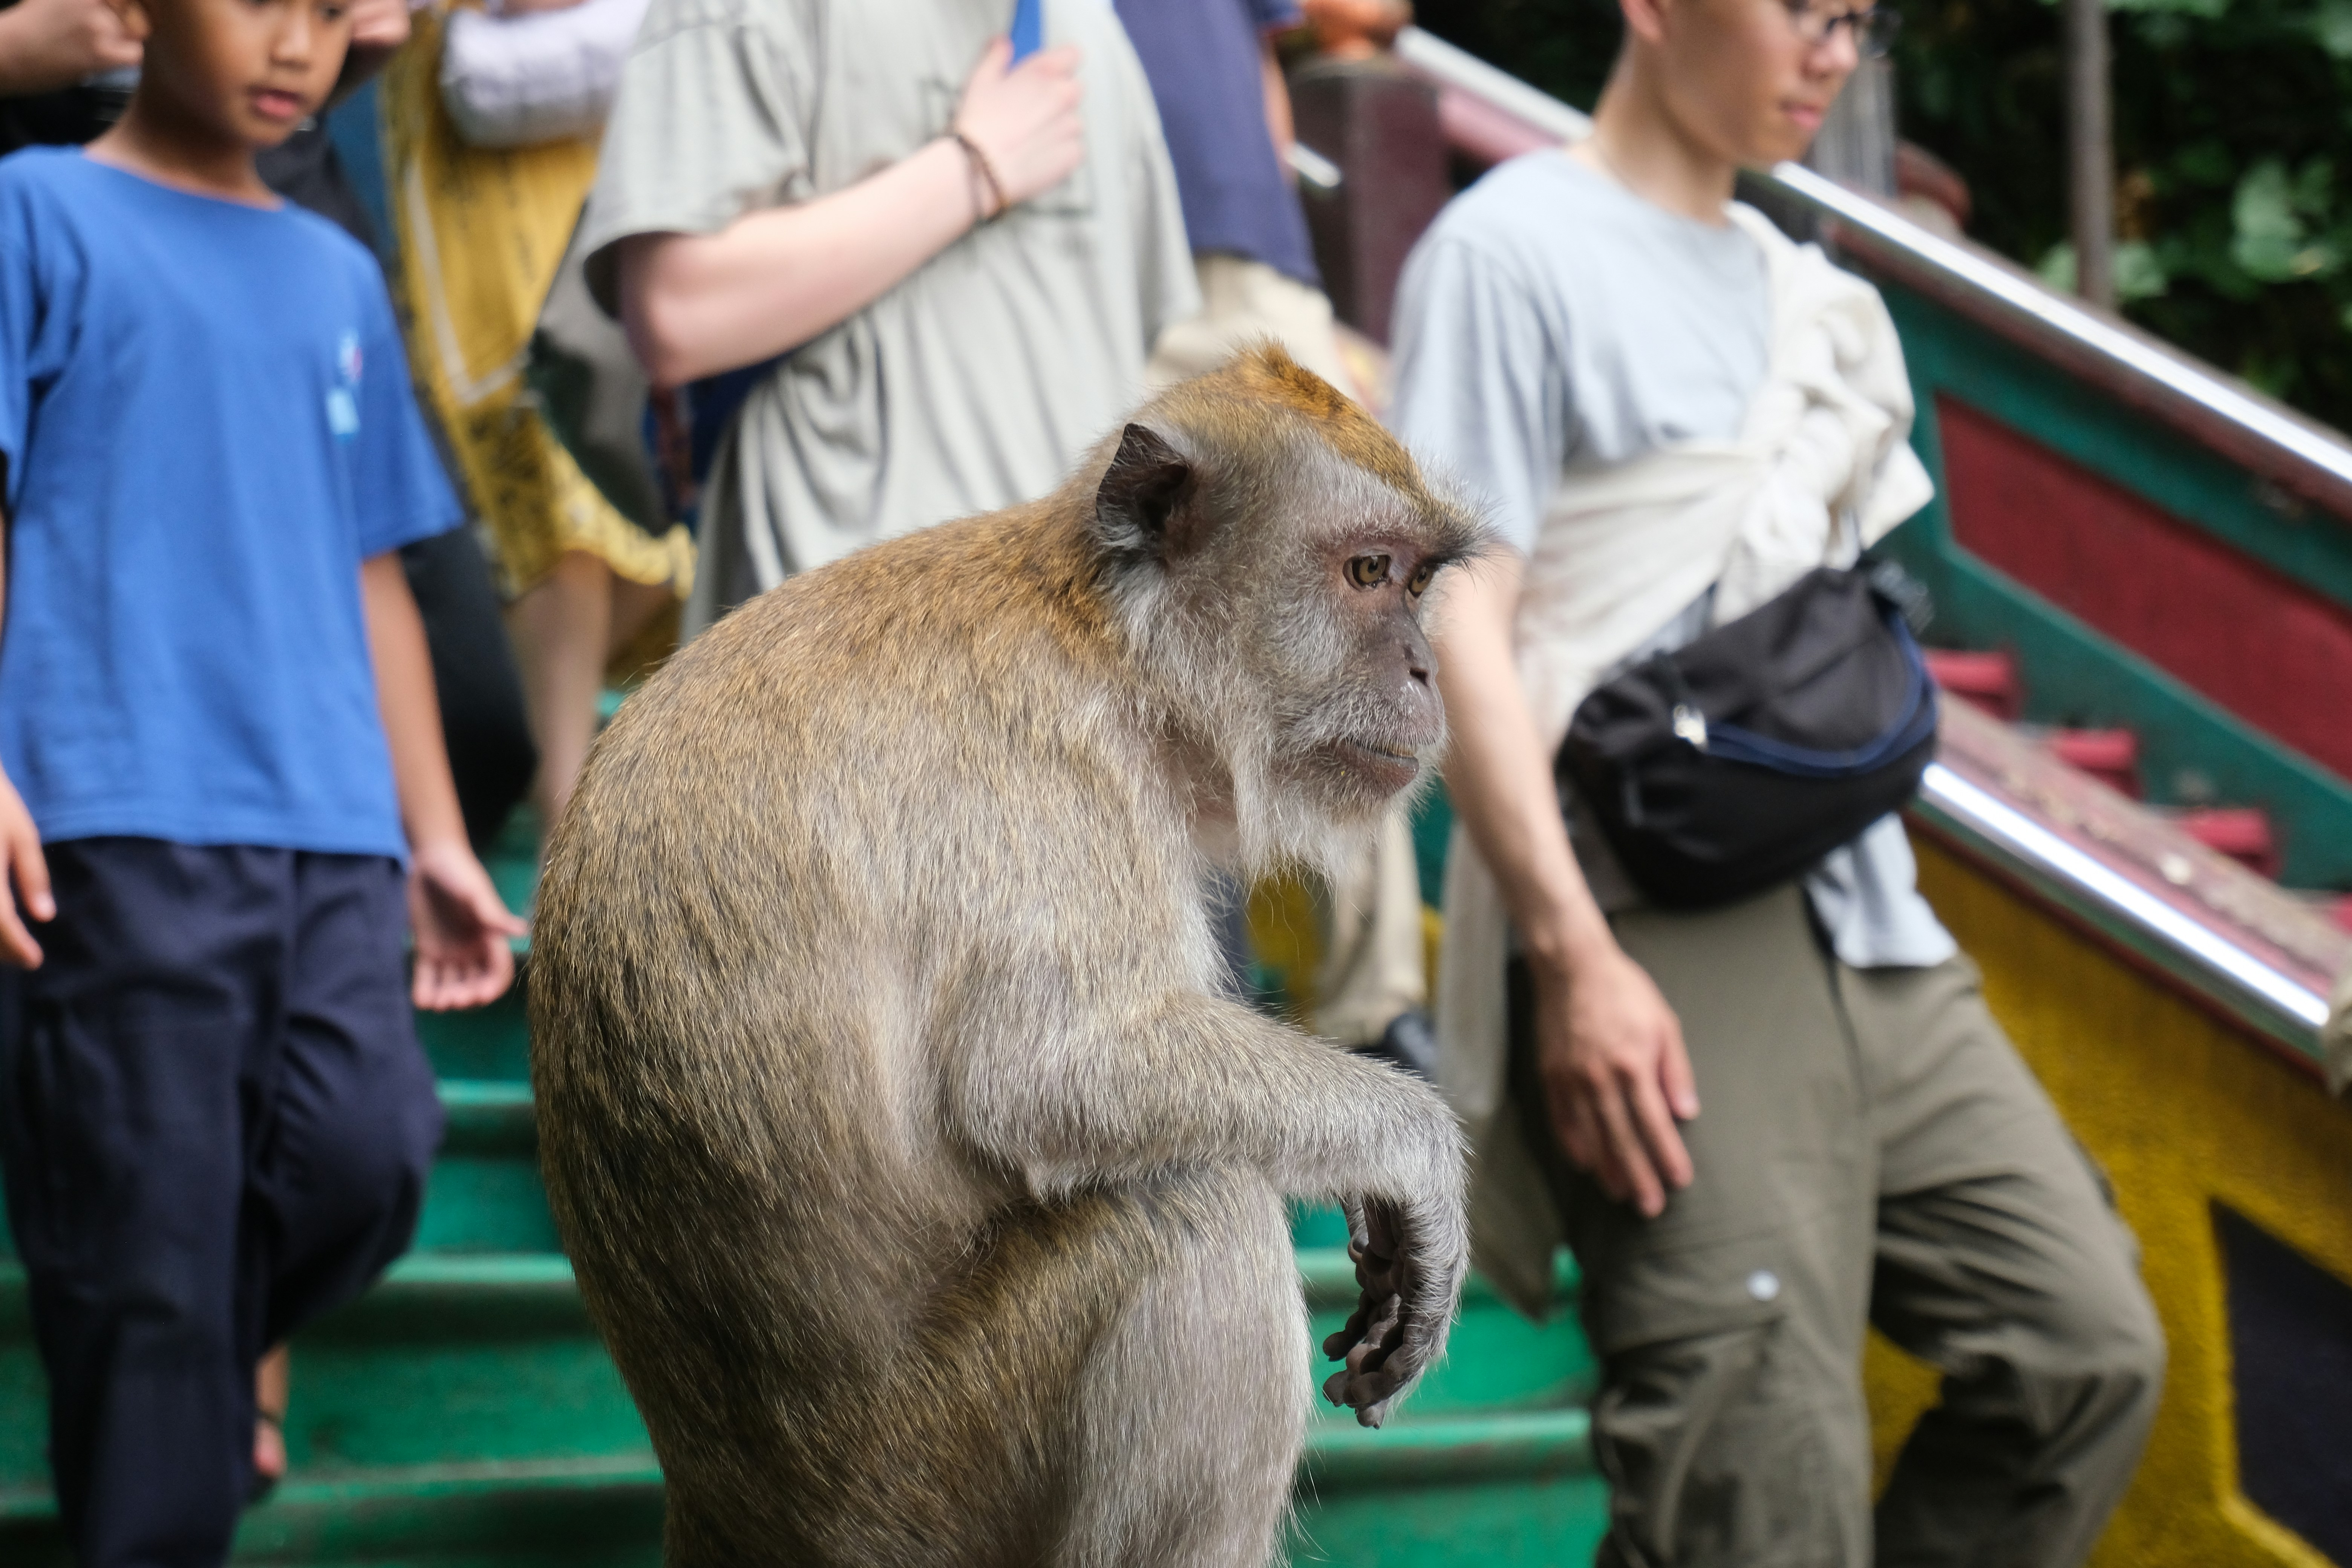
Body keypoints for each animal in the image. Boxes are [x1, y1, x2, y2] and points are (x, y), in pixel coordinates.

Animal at [528, 345, 1488, 1568]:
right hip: (916, 1487)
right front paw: (1412, 1146)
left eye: (1415, 587)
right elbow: (1042, 1069)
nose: (1427, 673)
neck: (1109, 642)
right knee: (1195, 1215)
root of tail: (723, 1511)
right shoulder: (1047, 771)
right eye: (1368, 572)